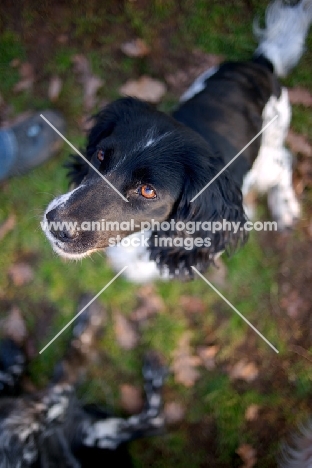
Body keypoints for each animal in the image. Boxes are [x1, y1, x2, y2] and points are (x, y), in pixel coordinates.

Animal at [42, 0, 312, 280]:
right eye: (100, 155)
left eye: (148, 191)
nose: (56, 224)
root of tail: (260, 64)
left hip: (267, 154)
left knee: (283, 160)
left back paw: (286, 207)